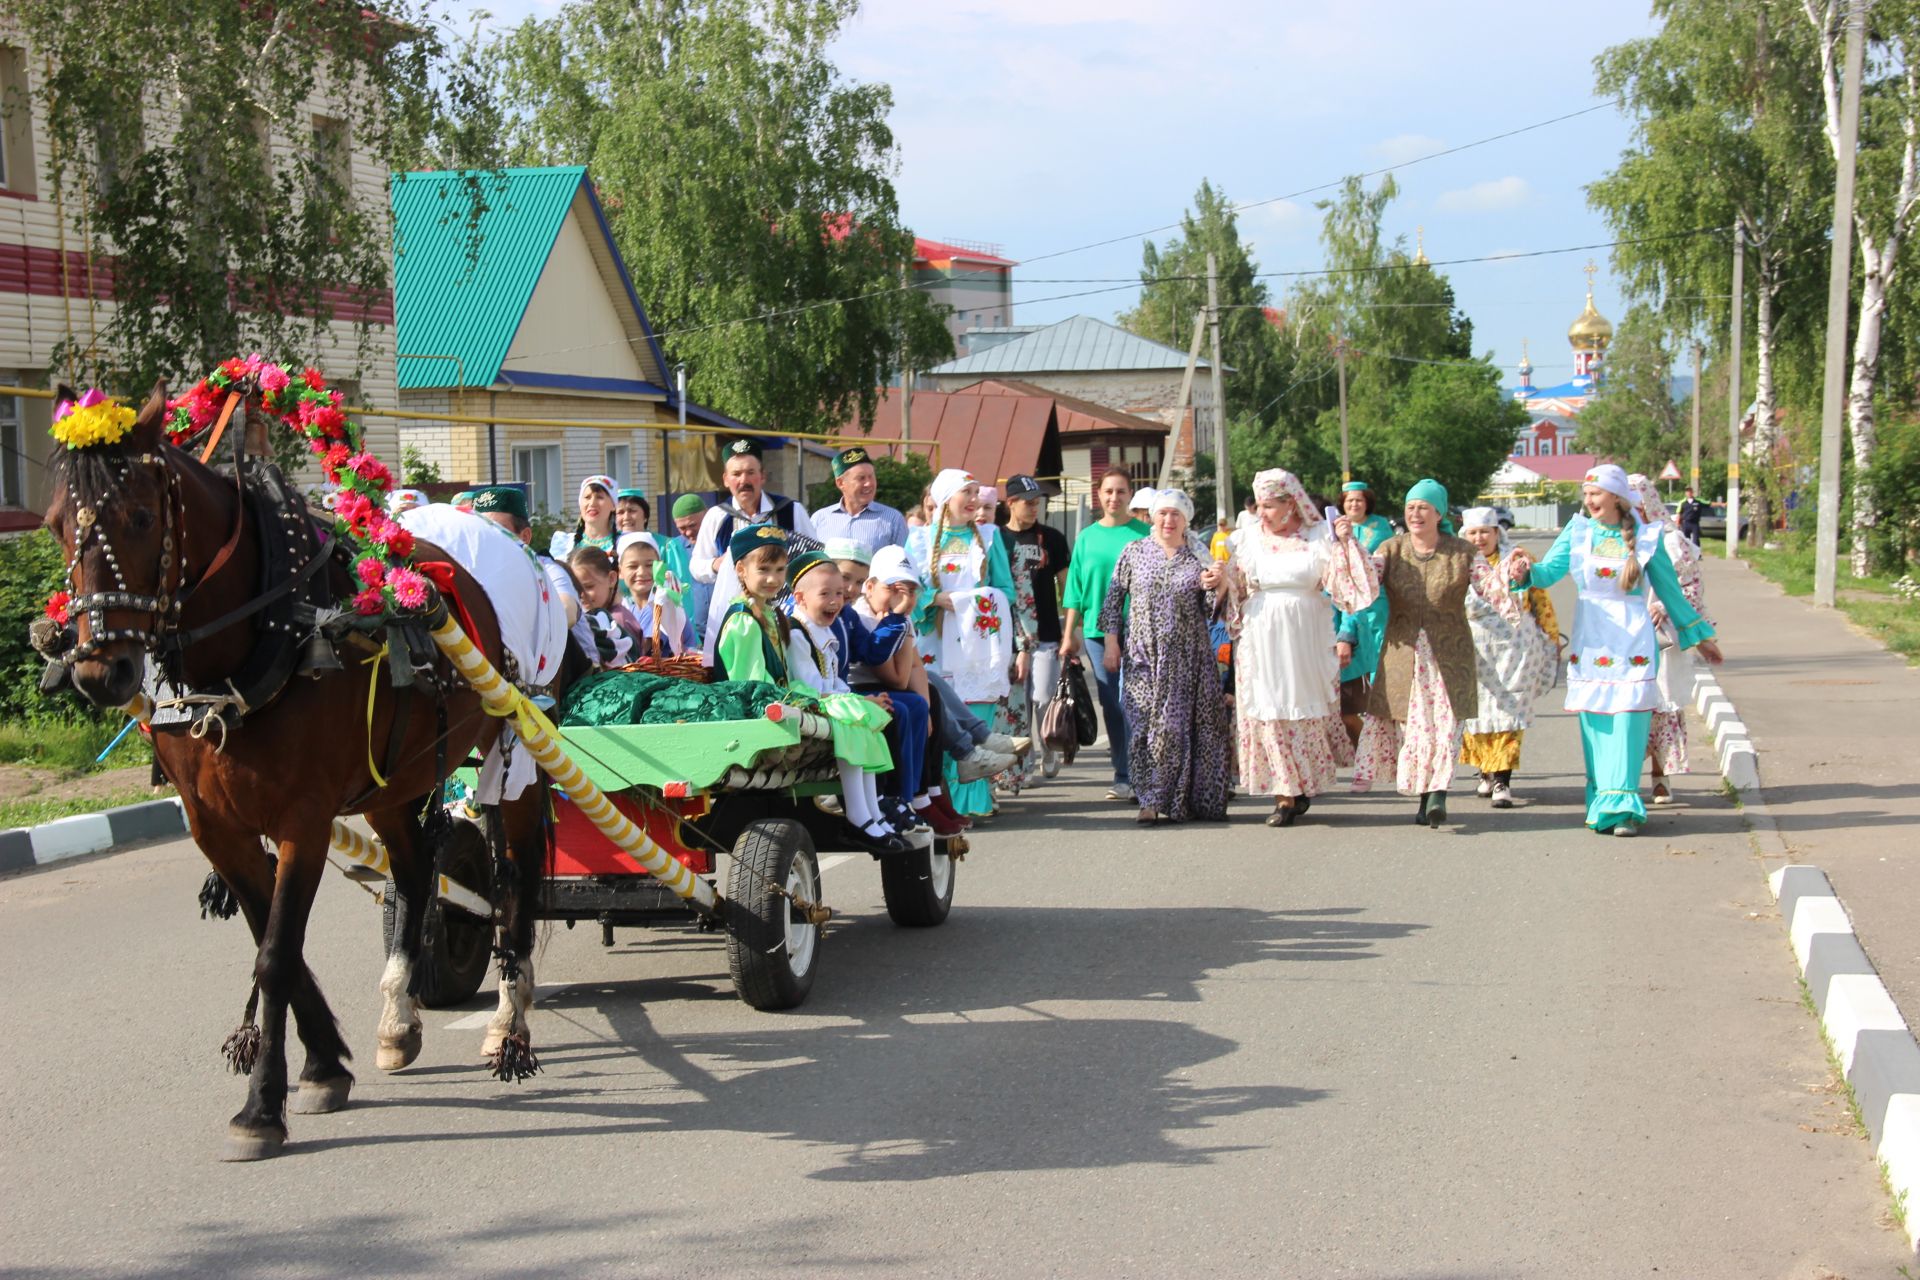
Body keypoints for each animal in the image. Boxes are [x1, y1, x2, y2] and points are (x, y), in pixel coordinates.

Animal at [43, 379, 568, 1159]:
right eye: (54, 524)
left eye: (139, 516)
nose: (99, 673)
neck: (267, 637)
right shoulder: (216, 827)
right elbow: (272, 944)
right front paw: (324, 1065)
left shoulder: (304, 820)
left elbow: (277, 955)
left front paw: (263, 1105)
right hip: (394, 780)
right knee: (418, 873)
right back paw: (399, 1018)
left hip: (520, 745)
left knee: (516, 886)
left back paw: (509, 1020)